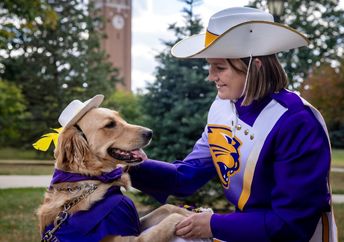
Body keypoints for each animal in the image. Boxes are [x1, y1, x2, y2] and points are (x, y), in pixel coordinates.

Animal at [38, 108, 194, 242]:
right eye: (110, 125)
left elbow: (167, 208)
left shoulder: (134, 223)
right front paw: (191, 220)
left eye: (121, 119)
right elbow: (172, 218)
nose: (150, 132)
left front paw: (191, 214)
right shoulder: (130, 238)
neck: (94, 179)